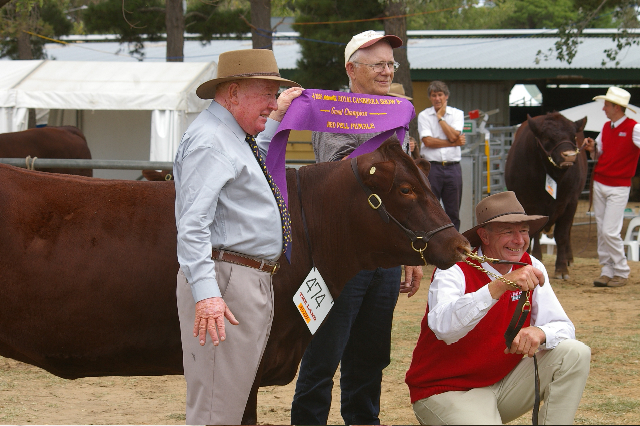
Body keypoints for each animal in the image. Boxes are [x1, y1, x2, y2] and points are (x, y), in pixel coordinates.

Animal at [508, 113, 588, 280]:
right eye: (546, 137)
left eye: (573, 136)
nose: (569, 156)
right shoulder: (527, 204)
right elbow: (530, 235)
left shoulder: (570, 203)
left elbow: (562, 234)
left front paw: (562, 269)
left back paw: (569, 258)